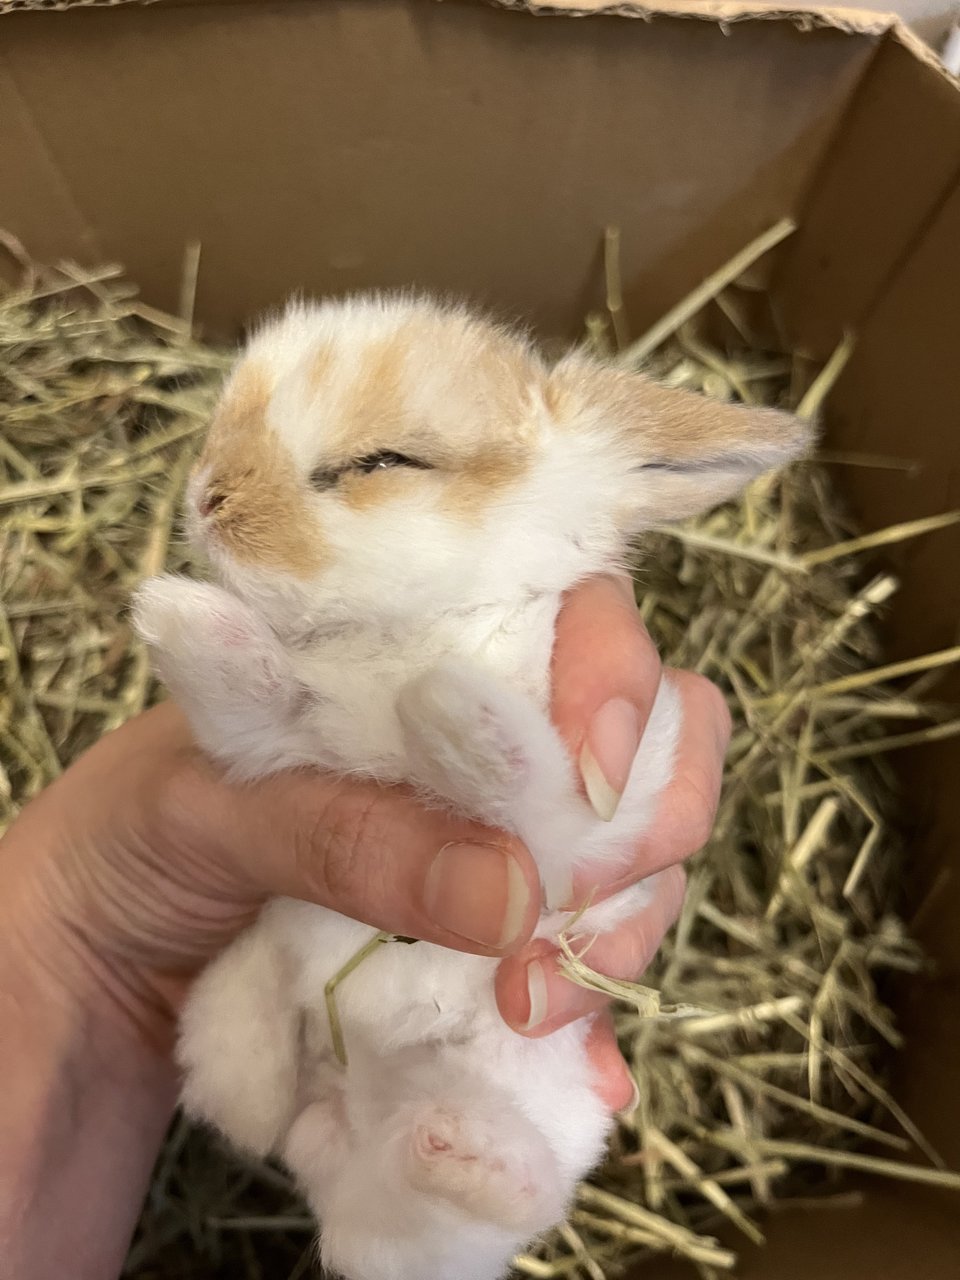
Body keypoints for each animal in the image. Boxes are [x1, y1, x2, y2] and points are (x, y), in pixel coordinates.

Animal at [135, 293, 814, 1280]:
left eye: (384, 463)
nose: (206, 498)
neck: (403, 635)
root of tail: (345, 1118)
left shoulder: (592, 821)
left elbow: (537, 797)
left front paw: (450, 709)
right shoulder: (268, 739)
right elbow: (264, 697)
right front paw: (175, 617)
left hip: (525, 1084)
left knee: (481, 1206)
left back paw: (463, 1153)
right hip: (234, 995)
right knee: (268, 1126)